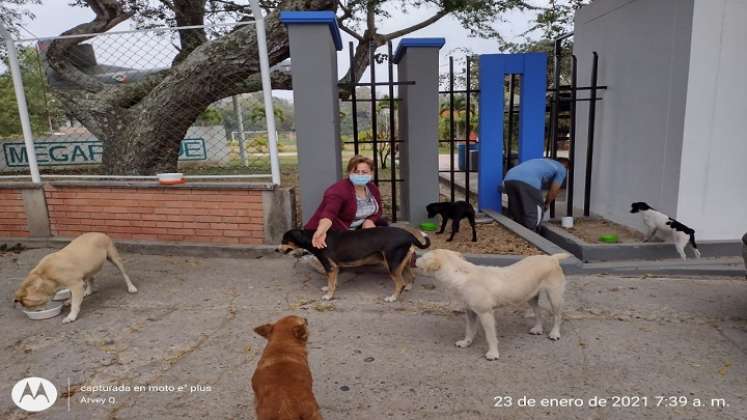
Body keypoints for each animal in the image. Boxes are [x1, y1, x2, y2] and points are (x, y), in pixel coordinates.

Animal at [276, 226, 430, 302]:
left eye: (284, 240)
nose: (276, 249)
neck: (313, 238)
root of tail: (409, 235)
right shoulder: (334, 268)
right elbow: (332, 282)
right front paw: (328, 289)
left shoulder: (330, 266)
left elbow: (331, 283)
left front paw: (329, 296)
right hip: (401, 262)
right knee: (411, 276)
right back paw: (408, 287)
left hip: (392, 263)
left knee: (400, 283)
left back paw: (393, 297)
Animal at [418, 249, 568, 360]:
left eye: (423, 257)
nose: (415, 258)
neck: (461, 274)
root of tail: (552, 258)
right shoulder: (471, 313)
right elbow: (469, 330)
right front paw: (466, 342)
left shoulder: (486, 314)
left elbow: (490, 337)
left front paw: (493, 354)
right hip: (530, 298)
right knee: (538, 313)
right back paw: (537, 329)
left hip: (554, 297)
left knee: (558, 316)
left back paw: (555, 333)